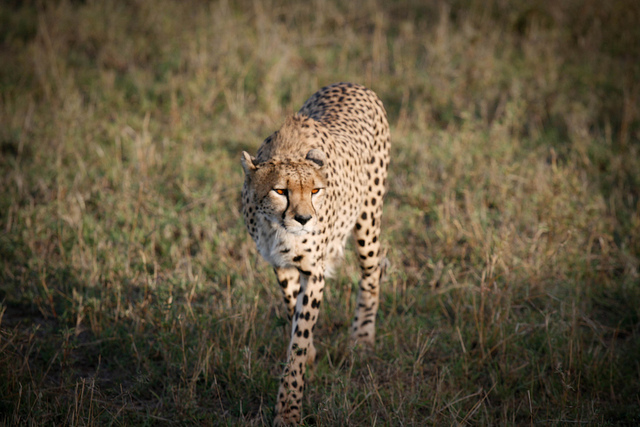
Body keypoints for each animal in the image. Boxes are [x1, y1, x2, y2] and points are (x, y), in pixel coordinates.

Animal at [241, 82, 390, 425]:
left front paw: (289, 409)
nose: (304, 219)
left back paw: (362, 339)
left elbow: (299, 336)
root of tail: (353, 83)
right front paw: (308, 352)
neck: (275, 226)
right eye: (280, 191)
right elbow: (291, 304)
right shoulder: (280, 264)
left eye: (315, 191)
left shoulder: (314, 271)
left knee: (373, 269)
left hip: (368, 217)